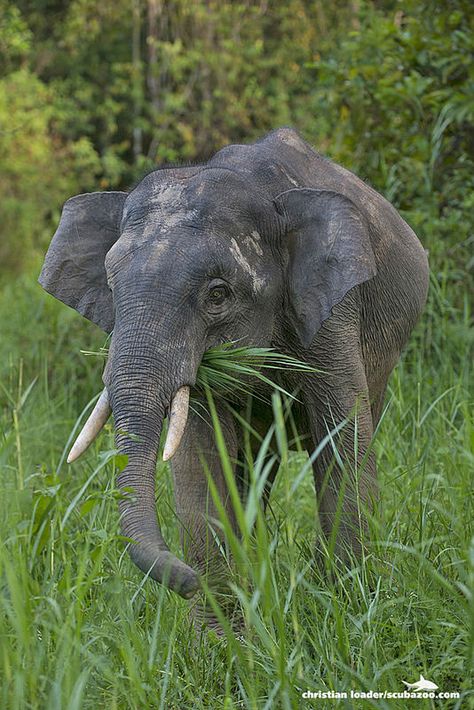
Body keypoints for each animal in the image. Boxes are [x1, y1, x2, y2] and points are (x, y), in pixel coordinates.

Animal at [39, 128, 430, 636]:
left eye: (218, 294)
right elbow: (204, 461)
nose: (185, 581)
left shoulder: (333, 313)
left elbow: (343, 442)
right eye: (110, 286)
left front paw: (349, 613)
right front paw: (218, 641)